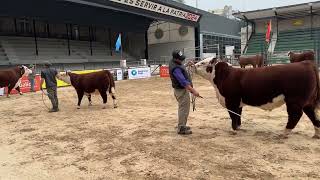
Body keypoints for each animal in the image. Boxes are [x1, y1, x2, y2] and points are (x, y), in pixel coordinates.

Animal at [192, 57, 320, 139]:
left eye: (203, 63)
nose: (192, 65)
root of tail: (306, 63)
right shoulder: (238, 102)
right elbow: (238, 115)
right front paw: (238, 127)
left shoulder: (231, 101)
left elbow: (233, 115)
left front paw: (233, 130)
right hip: (307, 101)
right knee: (312, 114)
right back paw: (316, 134)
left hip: (294, 101)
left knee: (295, 115)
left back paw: (284, 133)